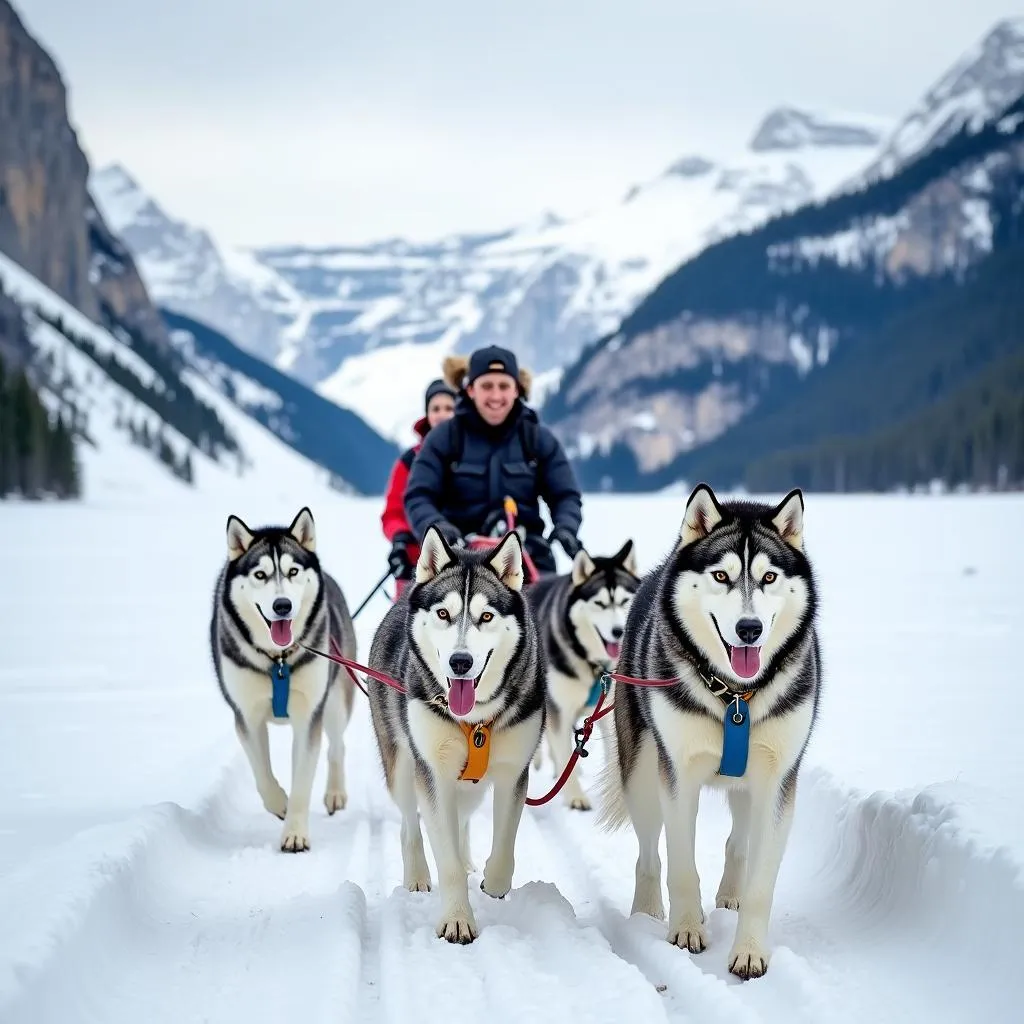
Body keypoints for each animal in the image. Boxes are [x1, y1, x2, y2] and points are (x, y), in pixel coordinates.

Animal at [207, 507, 356, 851]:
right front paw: (280, 804)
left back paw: (335, 793)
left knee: (337, 746)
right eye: (260, 575)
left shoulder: (308, 715)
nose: (282, 605)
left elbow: (302, 780)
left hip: (334, 701)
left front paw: (295, 833)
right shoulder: (246, 715)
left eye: (293, 571)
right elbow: (262, 773)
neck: (278, 660)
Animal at [366, 528, 544, 942]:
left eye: (486, 616)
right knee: (411, 825)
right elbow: (443, 855)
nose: (460, 662)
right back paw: (417, 874)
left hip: (470, 788)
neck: (476, 721)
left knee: (460, 820)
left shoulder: (513, 772)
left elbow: (505, 844)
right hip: (402, 765)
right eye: (444, 614)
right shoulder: (432, 770)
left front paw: (493, 881)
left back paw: (468, 862)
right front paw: (457, 919)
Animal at [528, 540, 638, 811]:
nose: (618, 631)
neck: (594, 665)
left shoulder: (606, 710)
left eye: (624, 601)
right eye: (599, 604)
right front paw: (575, 796)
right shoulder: (558, 708)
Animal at [598, 483, 819, 978]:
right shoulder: (677, 776)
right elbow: (681, 864)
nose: (749, 628)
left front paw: (750, 950)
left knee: (738, 842)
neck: (735, 695)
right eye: (721, 575)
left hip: (748, 788)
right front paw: (685, 930)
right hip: (642, 775)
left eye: (769, 577)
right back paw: (646, 913)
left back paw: (729, 896)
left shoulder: (778, 780)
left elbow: (761, 881)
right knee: (649, 852)